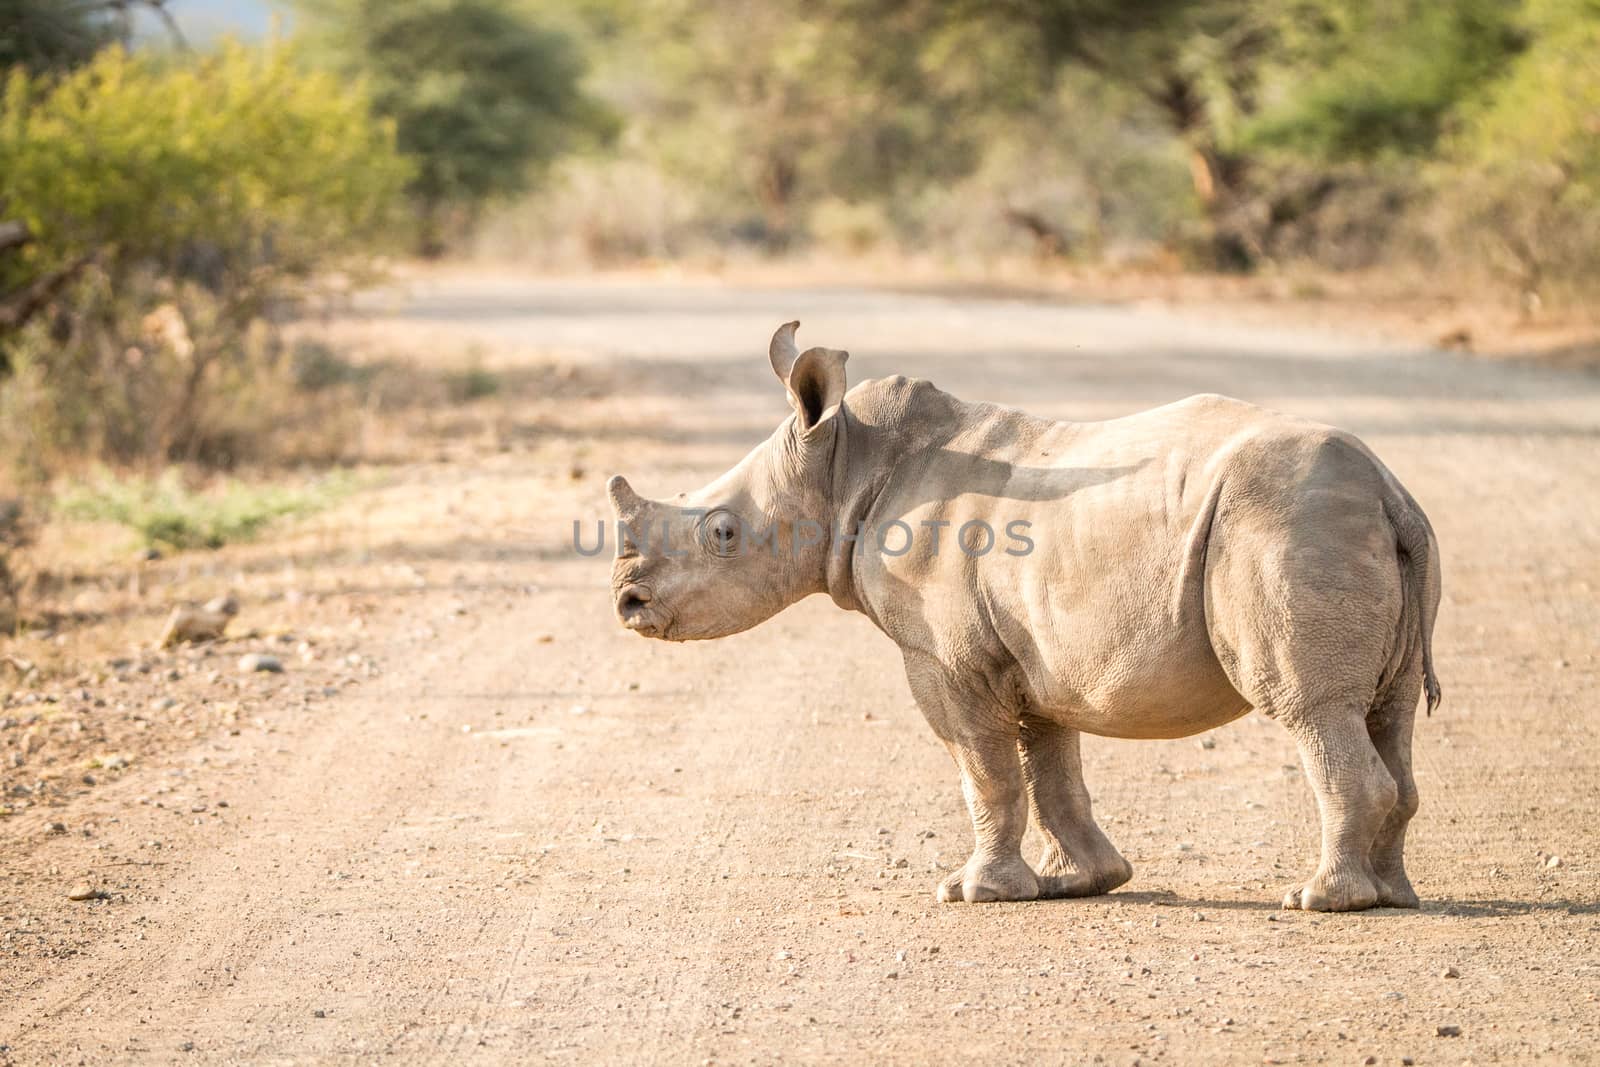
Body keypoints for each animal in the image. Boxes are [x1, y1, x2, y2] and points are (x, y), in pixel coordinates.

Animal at [608, 321, 1440, 915]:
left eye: (721, 532)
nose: (627, 602)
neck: (841, 465)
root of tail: (1391, 493)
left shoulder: (948, 657)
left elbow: (985, 768)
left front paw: (973, 891)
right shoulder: (1036, 651)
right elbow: (1049, 768)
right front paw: (1084, 880)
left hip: (1288, 523)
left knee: (1311, 709)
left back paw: (1320, 900)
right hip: (1350, 527)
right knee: (1389, 715)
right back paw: (1390, 897)